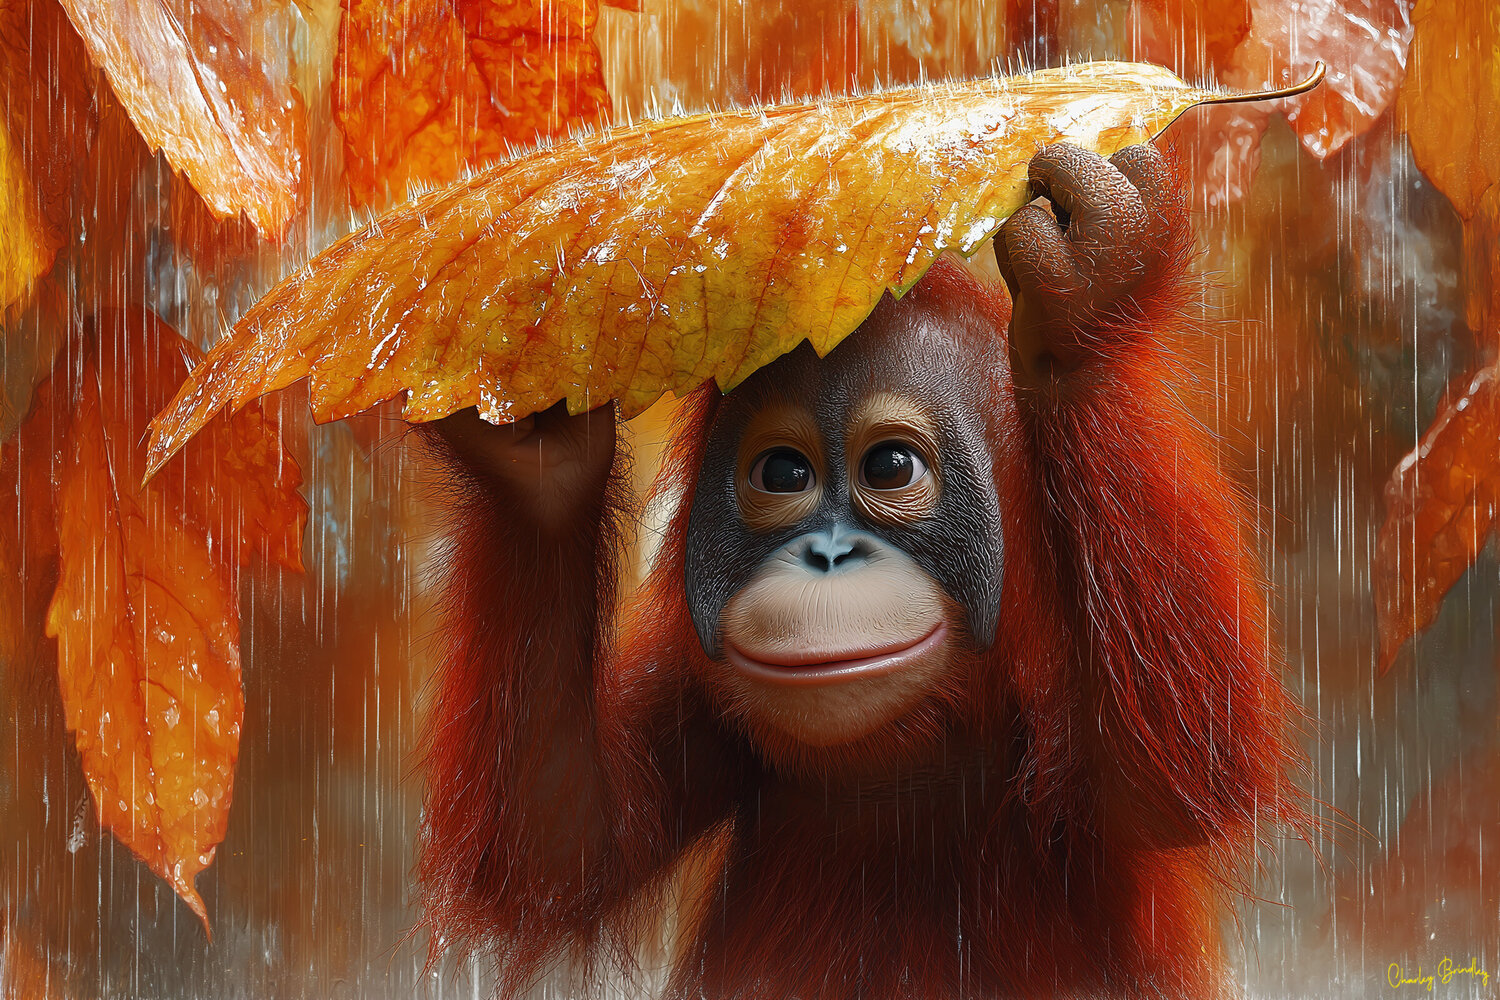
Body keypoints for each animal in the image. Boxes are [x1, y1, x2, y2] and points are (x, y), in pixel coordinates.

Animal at [415, 142, 1300, 999]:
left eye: (891, 467)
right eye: (782, 474)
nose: (829, 555)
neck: (901, 766)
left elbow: (1175, 776)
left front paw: (1082, 293)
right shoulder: (697, 693)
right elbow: (561, 851)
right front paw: (533, 419)